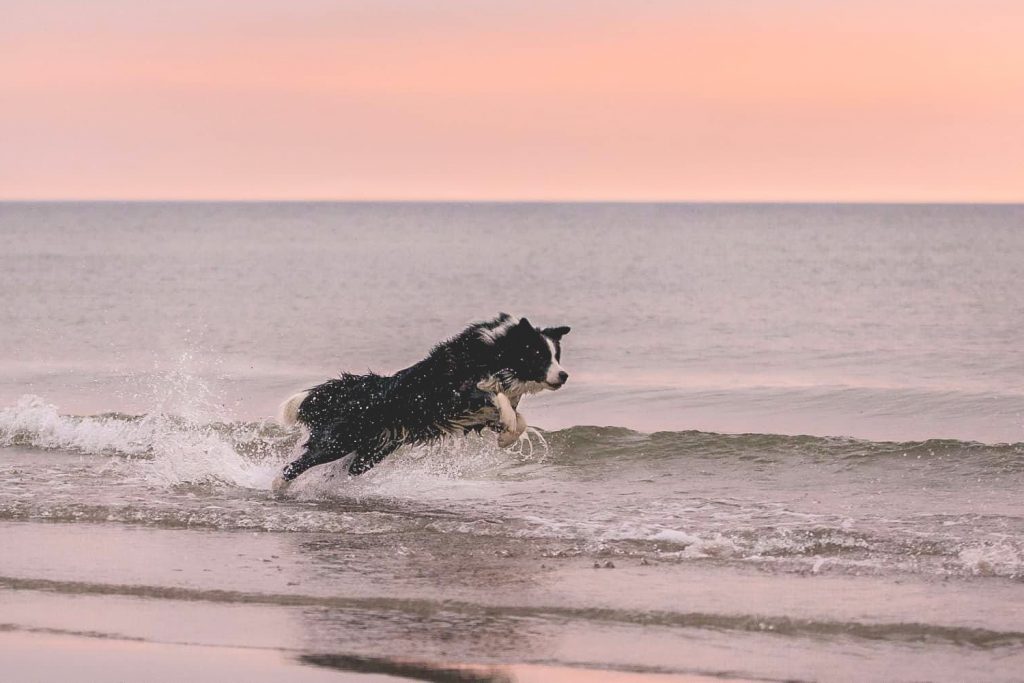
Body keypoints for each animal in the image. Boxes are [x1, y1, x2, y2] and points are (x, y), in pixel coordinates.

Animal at [272, 315, 573, 491]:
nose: (564, 375)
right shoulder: (459, 393)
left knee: (342, 470)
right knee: (298, 464)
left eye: (556, 356)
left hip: (370, 453)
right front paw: (507, 424)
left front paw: (506, 436)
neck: (495, 353)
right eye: (538, 355)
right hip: (338, 441)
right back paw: (277, 486)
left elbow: (518, 418)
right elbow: (495, 395)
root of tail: (359, 390)